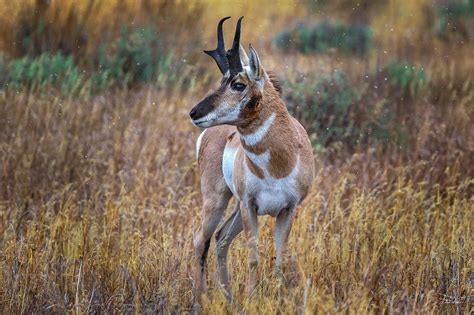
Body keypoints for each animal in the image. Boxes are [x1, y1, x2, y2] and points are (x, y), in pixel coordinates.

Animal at [189, 16, 314, 302]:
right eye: (222, 80)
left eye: (238, 84)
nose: (194, 112)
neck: (277, 165)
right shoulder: (250, 206)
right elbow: (253, 258)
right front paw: (253, 299)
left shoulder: (288, 209)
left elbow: (280, 260)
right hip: (218, 200)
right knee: (203, 239)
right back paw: (203, 297)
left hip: (235, 207)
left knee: (221, 238)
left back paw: (229, 299)